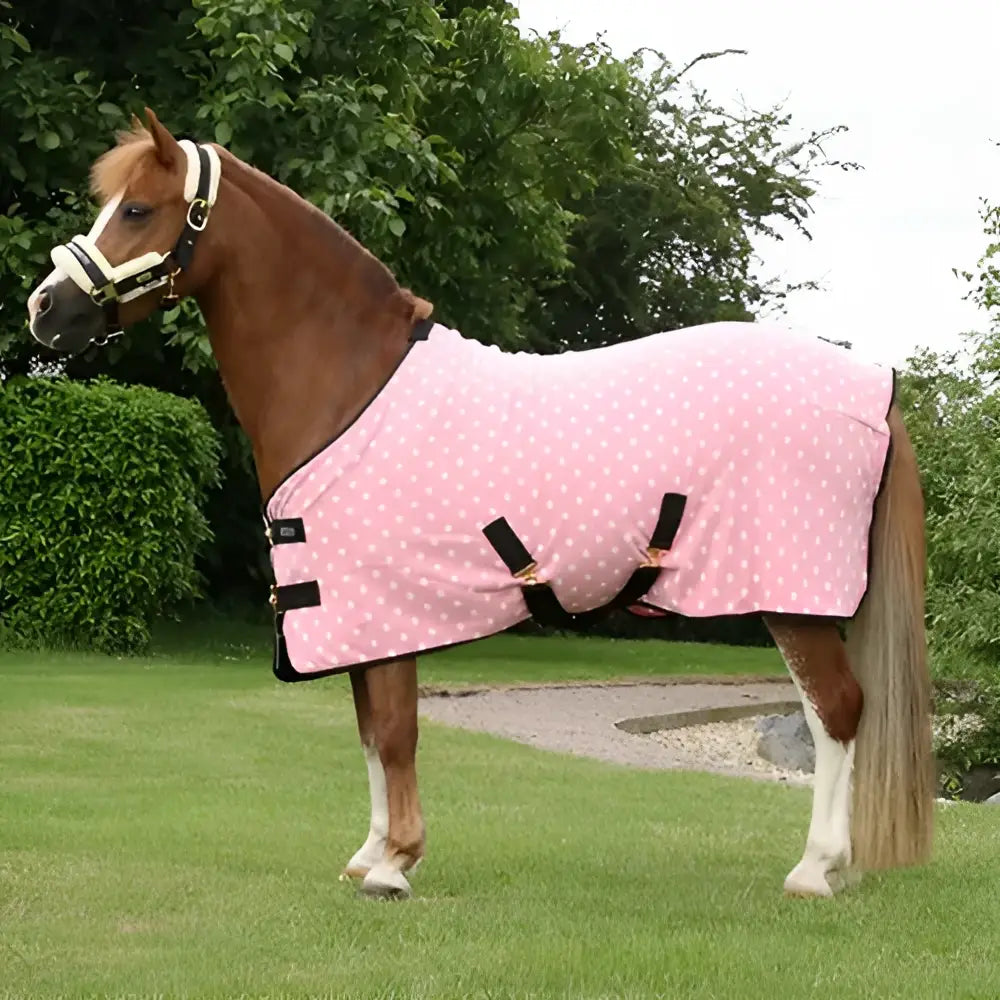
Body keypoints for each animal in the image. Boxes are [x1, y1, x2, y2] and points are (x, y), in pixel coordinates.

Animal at [26, 108, 935, 901]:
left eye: (137, 209)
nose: (44, 309)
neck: (348, 383)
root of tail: (871, 384)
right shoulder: (358, 614)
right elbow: (369, 730)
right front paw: (370, 854)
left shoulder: (384, 609)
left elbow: (395, 730)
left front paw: (396, 866)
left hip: (795, 598)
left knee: (837, 712)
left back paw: (816, 870)